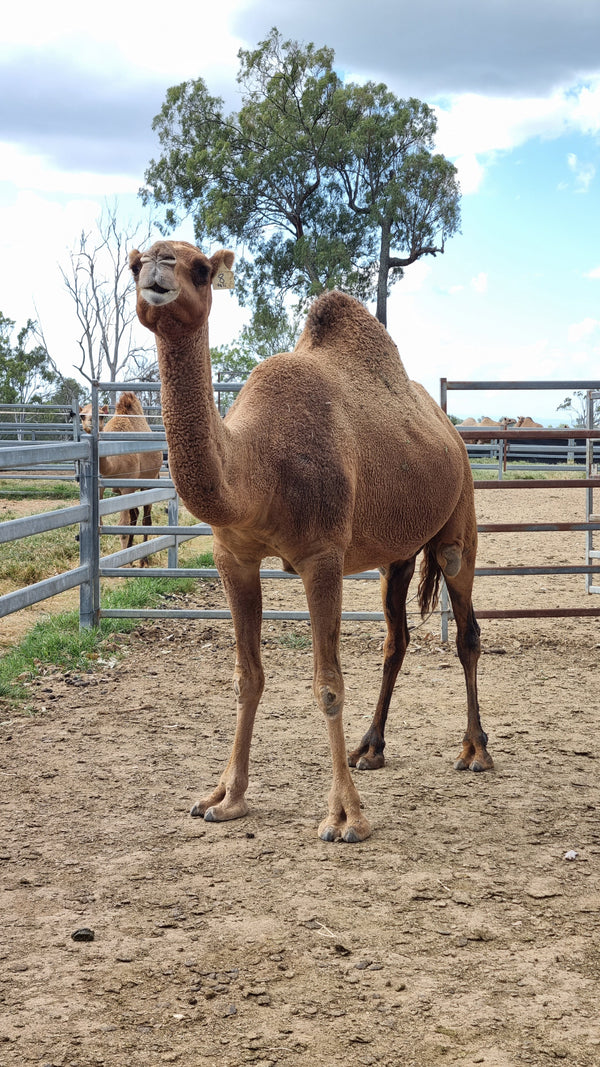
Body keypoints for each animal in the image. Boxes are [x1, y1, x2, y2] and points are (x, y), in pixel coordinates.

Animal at [80, 392, 163, 563]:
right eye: (82, 415)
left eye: (101, 415)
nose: (89, 424)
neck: (114, 465)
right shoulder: (102, 486)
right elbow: (102, 522)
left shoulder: (126, 486)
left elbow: (122, 526)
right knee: (135, 515)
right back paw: (132, 551)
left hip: (149, 481)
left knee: (146, 518)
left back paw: (143, 559)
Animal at [129, 239, 493, 843]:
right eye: (135, 264)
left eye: (200, 269)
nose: (157, 268)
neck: (258, 466)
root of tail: (453, 431)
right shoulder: (234, 557)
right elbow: (247, 677)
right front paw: (225, 797)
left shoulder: (321, 556)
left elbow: (327, 685)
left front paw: (346, 817)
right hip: (395, 555)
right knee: (395, 639)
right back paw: (370, 748)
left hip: (458, 519)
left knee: (466, 629)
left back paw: (475, 752)